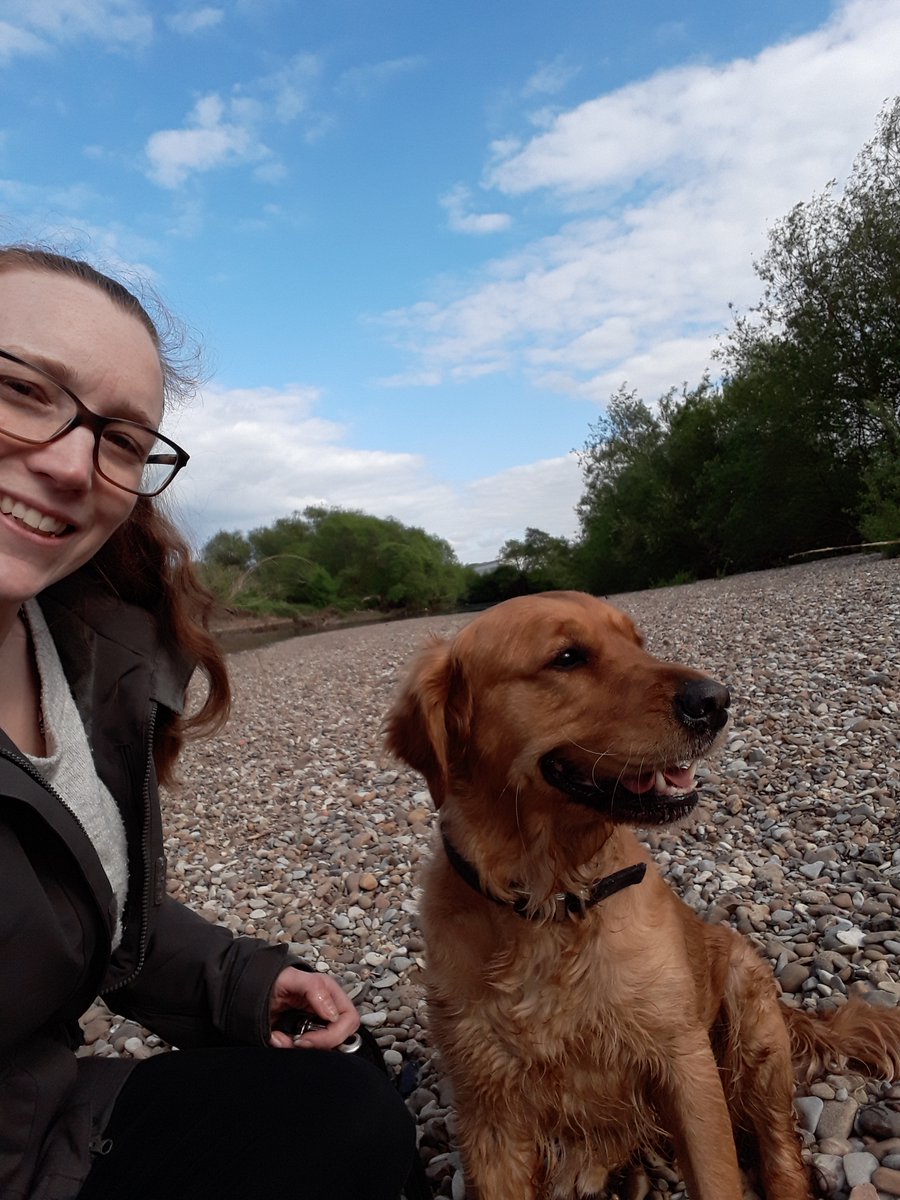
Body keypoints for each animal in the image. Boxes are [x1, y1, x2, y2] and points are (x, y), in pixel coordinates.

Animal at [386, 590, 900, 1200]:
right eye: (567, 657)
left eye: (637, 642)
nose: (716, 700)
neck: (554, 900)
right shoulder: (490, 1112)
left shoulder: (683, 1062)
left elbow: (718, 1177)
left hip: (752, 1021)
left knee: (781, 1156)